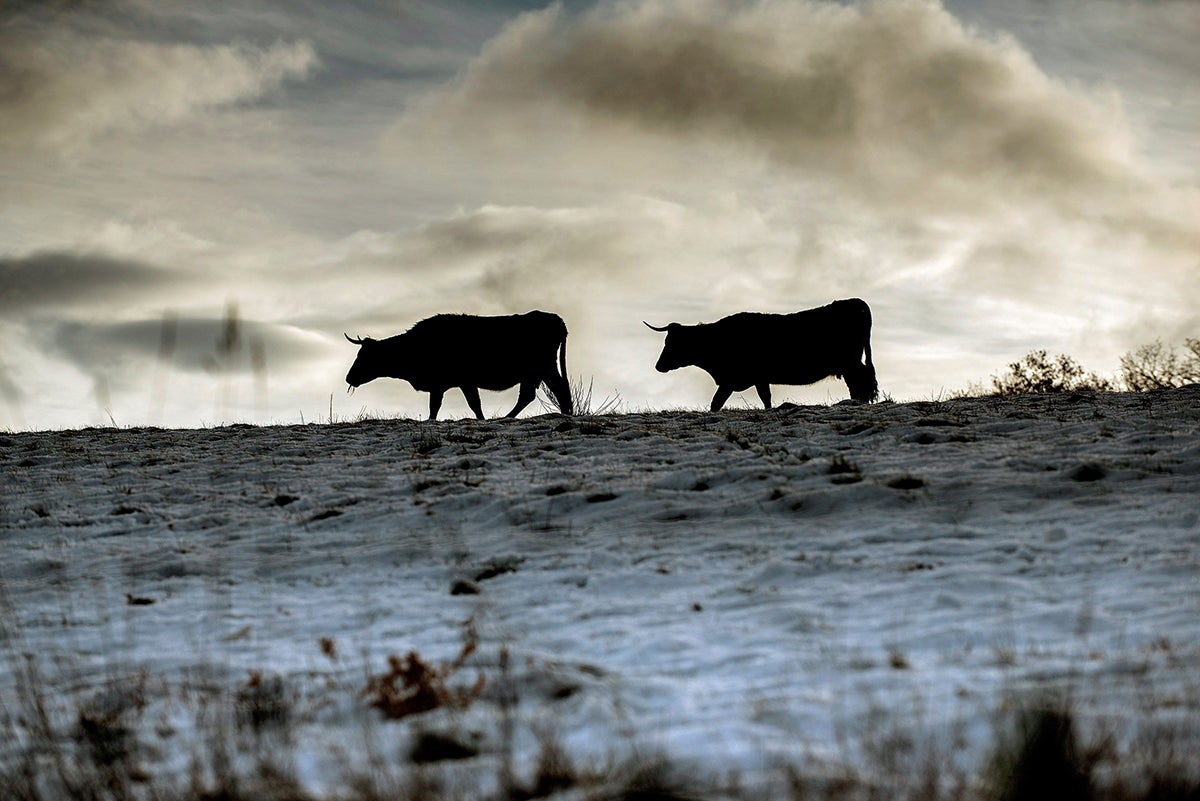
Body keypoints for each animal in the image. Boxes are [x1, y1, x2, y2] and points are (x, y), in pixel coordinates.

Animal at [344, 311, 573, 420]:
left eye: (363, 356)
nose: (348, 378)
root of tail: (557, 320)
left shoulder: (459, 382)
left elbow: (467, 405)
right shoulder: (444, 385)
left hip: (543, 367)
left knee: (555, 389)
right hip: (537, 372)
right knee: (534, 394)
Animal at [645, 298, 878, 411]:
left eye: (671, 343)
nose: (658, 366)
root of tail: (855, 302)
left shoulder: (733, 380)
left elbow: (716, 403)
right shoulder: (757, 379)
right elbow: (764, 398)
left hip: (851, 362)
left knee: (862, 382)